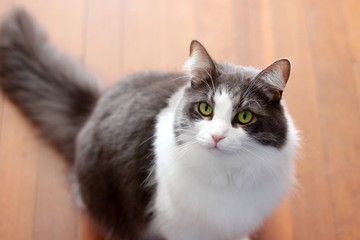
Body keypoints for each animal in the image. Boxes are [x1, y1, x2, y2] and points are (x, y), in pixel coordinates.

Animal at [0, 7, 298, 240]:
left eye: (244, 117)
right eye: (205, 109)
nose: (217, 136)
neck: (227, 176)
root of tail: (95, 107)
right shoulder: (177, 225)